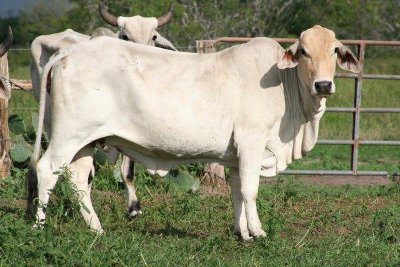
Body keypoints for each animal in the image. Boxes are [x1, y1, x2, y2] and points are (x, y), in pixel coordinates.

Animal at [28, 25, 360, 241]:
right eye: (303, 51)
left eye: (334, 50)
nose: (323, 85)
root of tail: (69, 52)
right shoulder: (252, 143)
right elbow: (250, 191)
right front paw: (258, 231)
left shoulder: (236, 156)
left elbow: (237, 192)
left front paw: (242, 233)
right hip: (68, 135)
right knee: (46, 169)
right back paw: (38, 227)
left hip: (85, 141)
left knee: (78, 179)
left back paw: (96, 229)